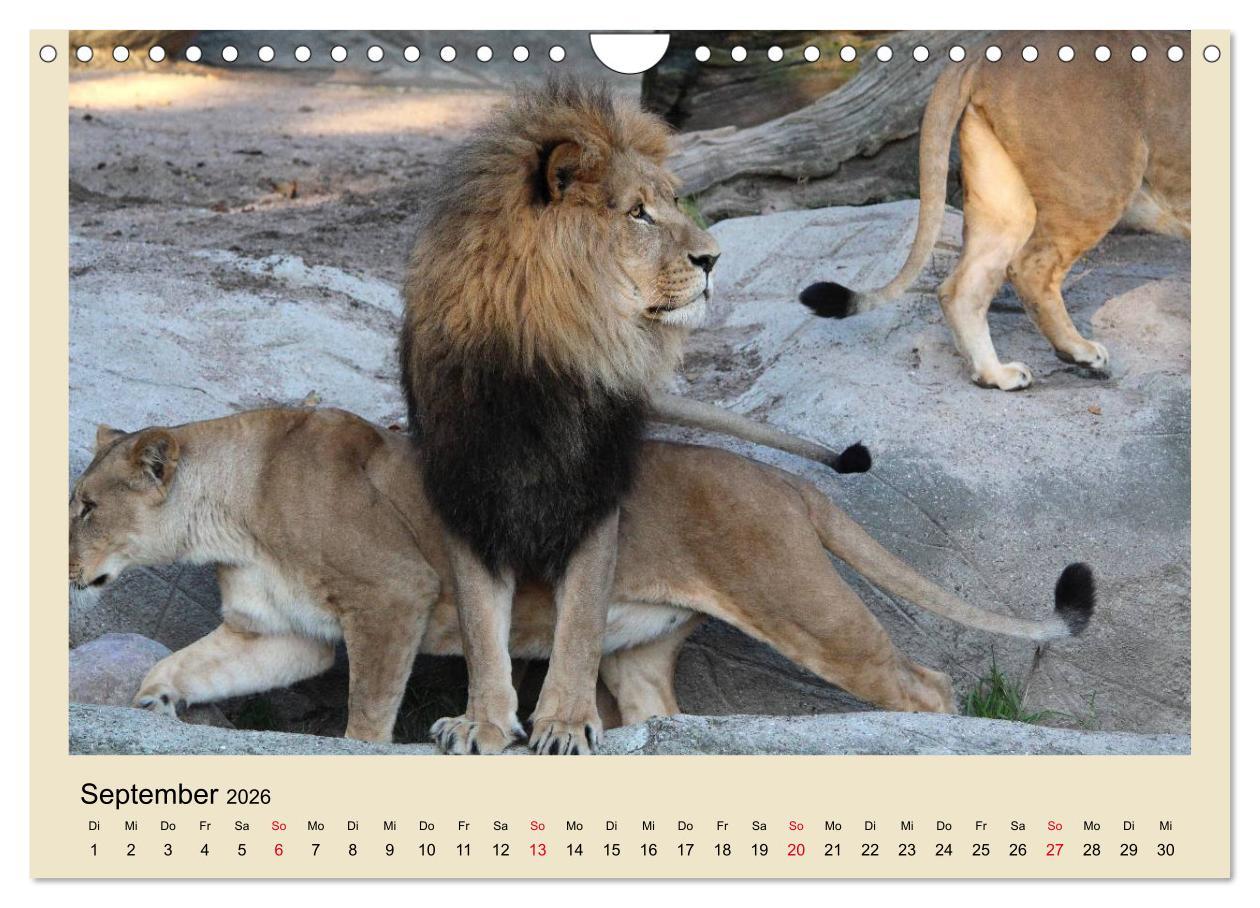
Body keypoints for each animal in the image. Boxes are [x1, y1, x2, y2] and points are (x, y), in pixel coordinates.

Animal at [69, 408, 1095, 746]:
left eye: (82, 505)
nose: (66, 560)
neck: (229, 510)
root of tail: (788, 484)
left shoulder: (391, 596)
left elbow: (368, 708)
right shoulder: (273, 631)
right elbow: (183, 664)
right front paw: (154, 705)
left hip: (801, 604)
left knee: (925, 681)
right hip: (638, 646)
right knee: (659, 712)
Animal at [400, 80, 731, 755]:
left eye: (674, 200)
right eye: (637, 213)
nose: (714, 259)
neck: (543, 357)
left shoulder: (593, 494)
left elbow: (579, 623)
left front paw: (566, 721)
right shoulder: (470, 493)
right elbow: (480, 626)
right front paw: (482, 721)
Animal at [800, 31, 1190, 390]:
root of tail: (989, 46)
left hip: (1006, 203)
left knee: (961, 287)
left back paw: (996, 375)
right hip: (1098, 185)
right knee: (1029, 269)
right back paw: (1079, 352)